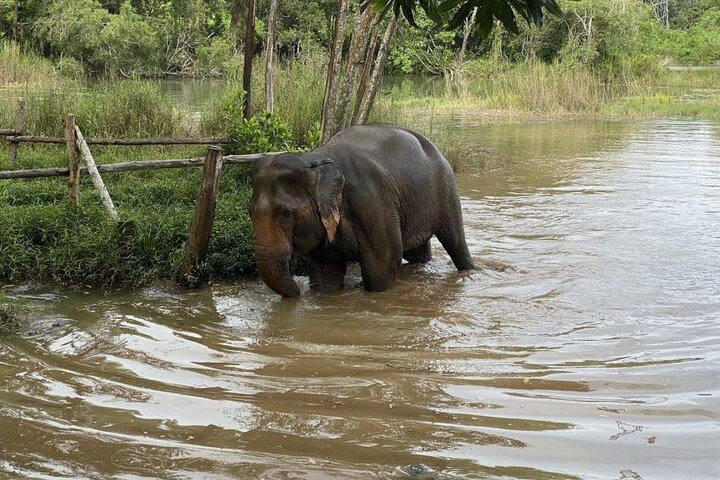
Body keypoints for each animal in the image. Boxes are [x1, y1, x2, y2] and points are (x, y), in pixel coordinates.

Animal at [249, 124, 475, 298]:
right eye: (250, 214)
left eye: (287, 214)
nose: (298, 289)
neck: (315, 158)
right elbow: (326, 273)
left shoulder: (372, 204)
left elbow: (381, 267)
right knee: (418, 254)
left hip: (446, 188)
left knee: (456, 243)